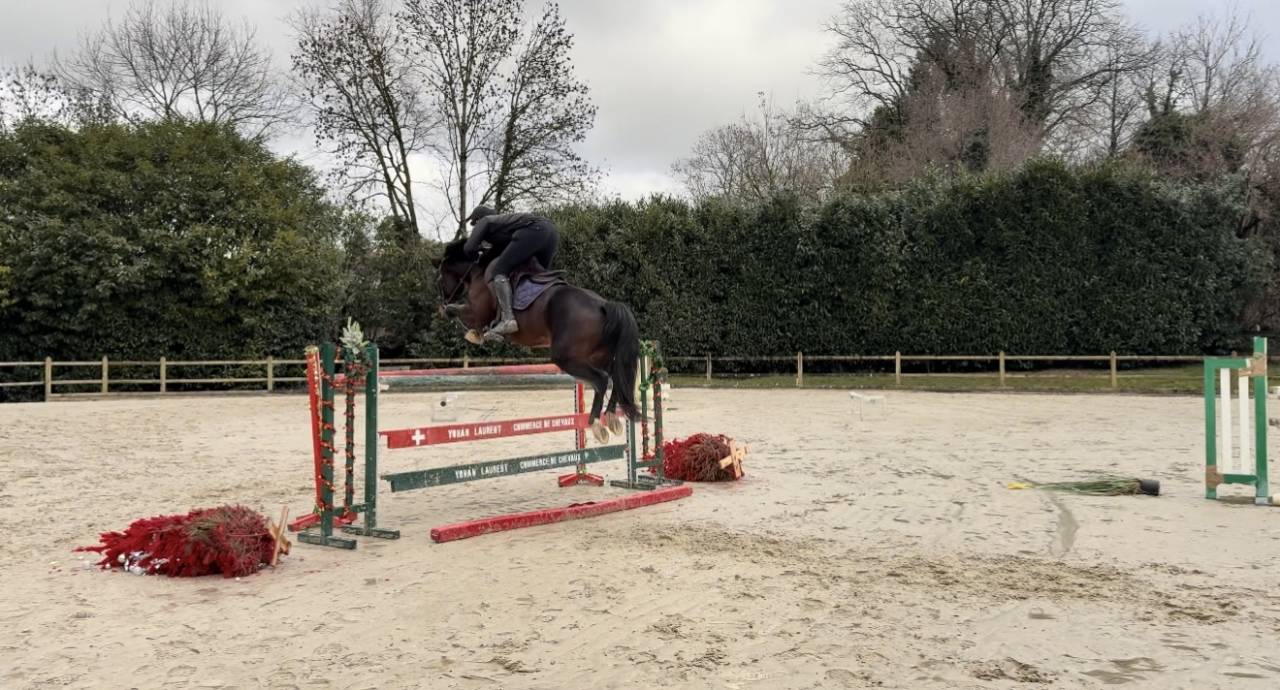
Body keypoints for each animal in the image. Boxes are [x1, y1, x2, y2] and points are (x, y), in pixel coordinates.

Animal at [432, 237, 641, 442]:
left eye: (440, 278)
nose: (440, 304)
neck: (477, 270)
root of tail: (603, 305)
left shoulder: (477, 313)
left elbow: (456, 310)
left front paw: (473, 332)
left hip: (566, 357)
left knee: (602, 379)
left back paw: (597, 424)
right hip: (599, 356)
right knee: (616, 377)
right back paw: (612, 417)